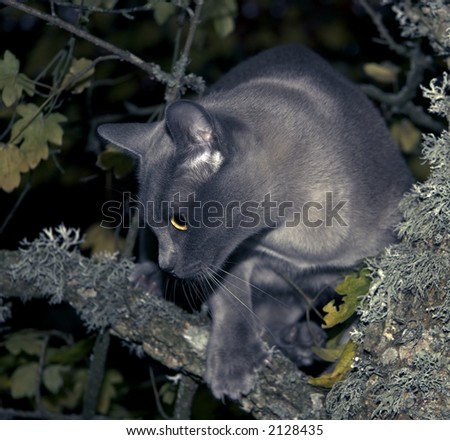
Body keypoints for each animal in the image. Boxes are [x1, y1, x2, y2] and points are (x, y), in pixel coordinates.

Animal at [97, 43, 412, 398]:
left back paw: (303, 340)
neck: (298, 232)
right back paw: (148, 280)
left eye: (179, 222)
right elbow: (230, 300)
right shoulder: (237, 256)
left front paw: (338, 383)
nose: (168, 265)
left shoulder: (372, 265)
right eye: (156, 227)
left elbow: (359, 334)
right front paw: (233, 366)